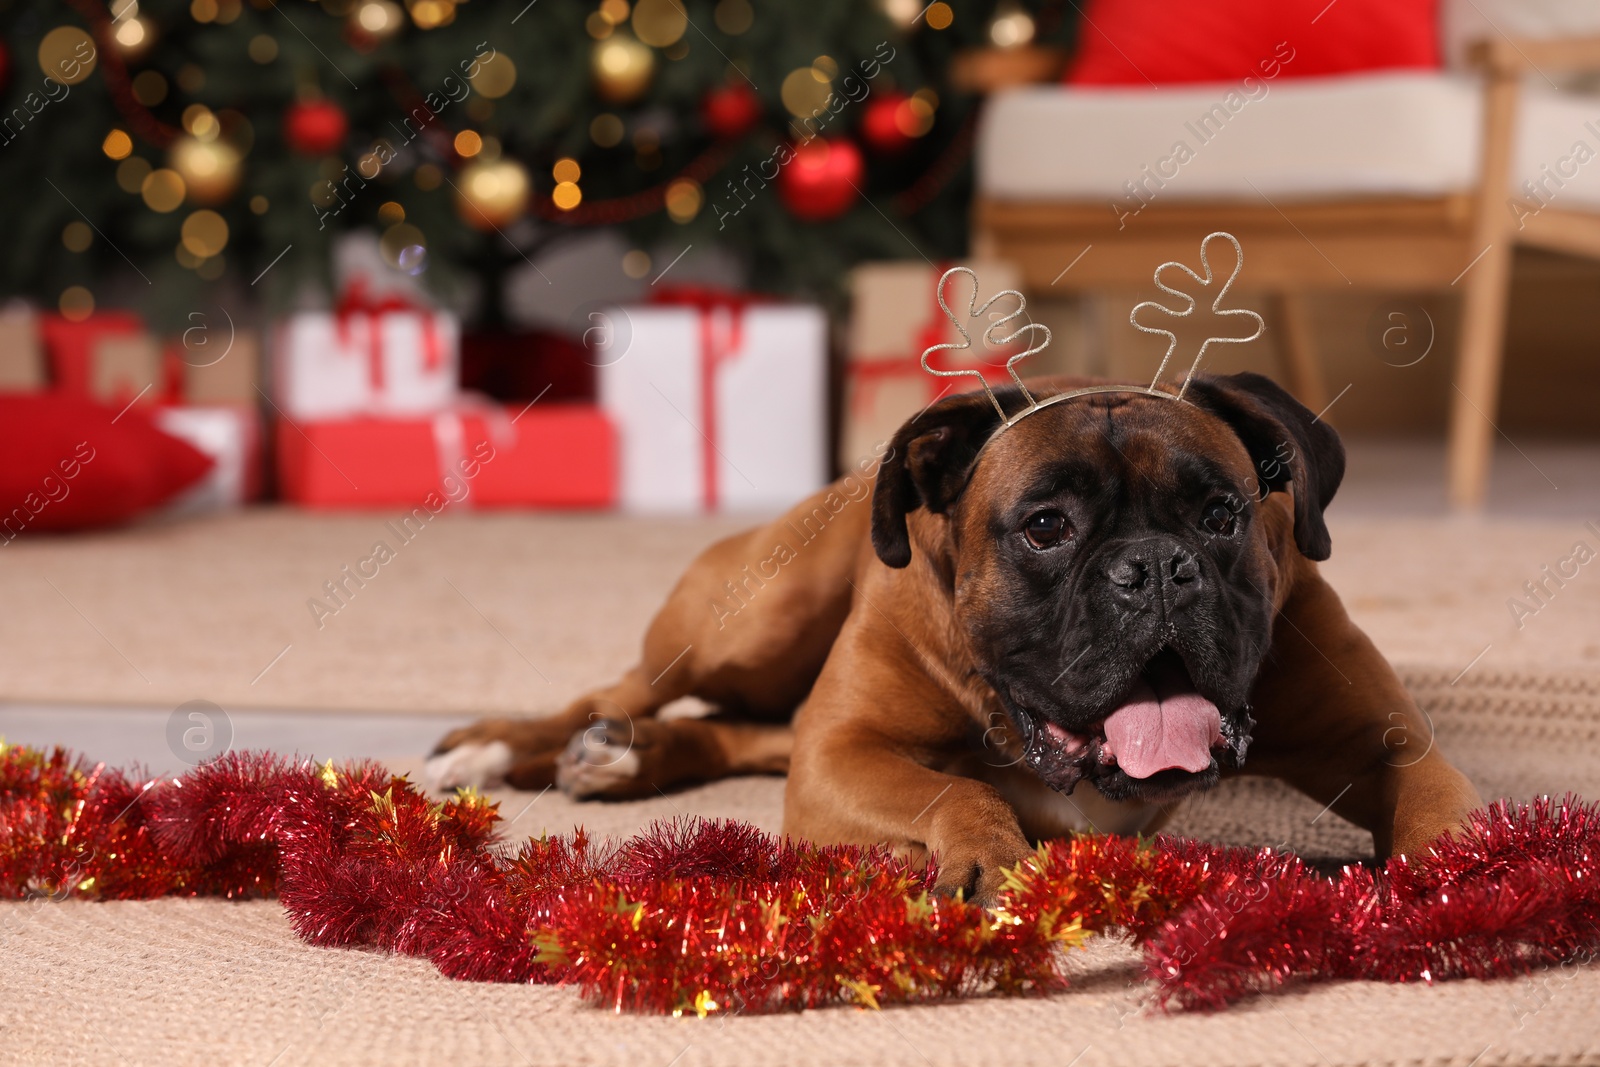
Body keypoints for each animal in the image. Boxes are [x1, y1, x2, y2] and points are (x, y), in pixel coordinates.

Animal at [432, 374, 1478, 902]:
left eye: (1221, 515)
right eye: (1046, 526)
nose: (1152, 567)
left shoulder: (1388, 744)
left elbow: (1439, 800)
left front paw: (1467, 877)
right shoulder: (843, 756)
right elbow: (956, 789)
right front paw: (990, 852)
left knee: (743, 728)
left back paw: (629, 756)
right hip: (750, 618)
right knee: (625, 687)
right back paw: (507, 745)